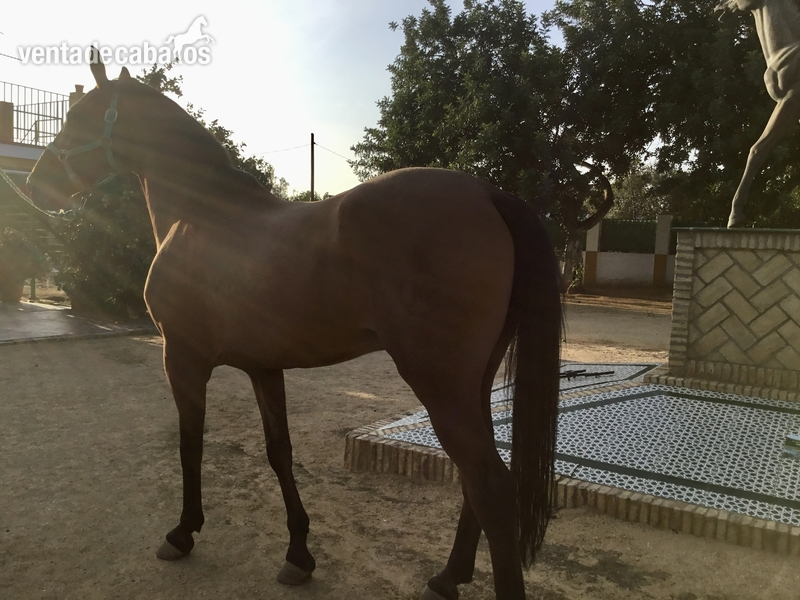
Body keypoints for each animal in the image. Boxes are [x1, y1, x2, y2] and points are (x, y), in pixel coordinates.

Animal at [27, 55, 562, 600]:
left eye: (79, 117)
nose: (33, 183)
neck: (201, 216)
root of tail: (487, 193)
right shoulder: (264, 367)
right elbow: (279, 452)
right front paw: (299, 555)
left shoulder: (181, 358)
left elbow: (190, 443)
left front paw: (182, 533)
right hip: (474, 383)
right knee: (476, 481)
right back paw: (447, 575)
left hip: (440, 384)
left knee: (491, 486)